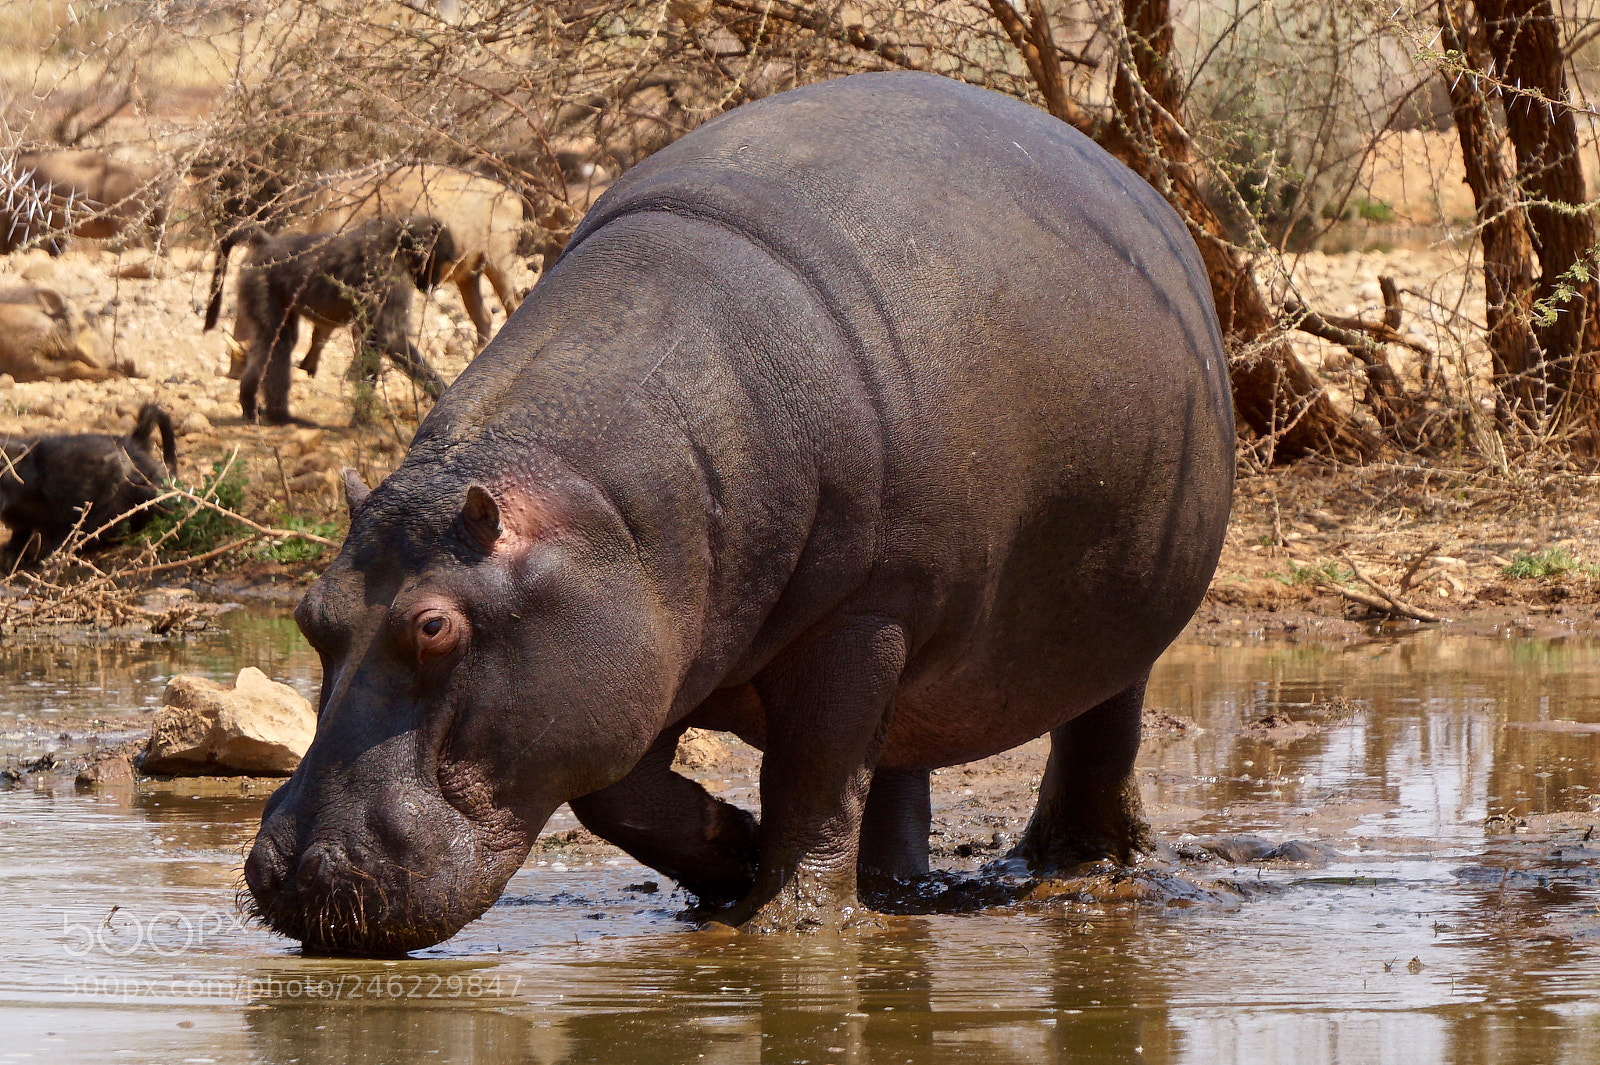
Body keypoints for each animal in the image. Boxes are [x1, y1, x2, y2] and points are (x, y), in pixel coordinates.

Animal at [244, 70, 1234, 954]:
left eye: (434, 625)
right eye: (309, 614)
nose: (286, 872)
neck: (578, 499)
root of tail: (1142, 190)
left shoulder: (859, 617)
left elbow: (815, 773)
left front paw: (786, 922)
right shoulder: (648, 639)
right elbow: (620, 797)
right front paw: (734, 859)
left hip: (1106, 622)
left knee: (1097, 730)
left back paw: (1076, 868)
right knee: (897, 766)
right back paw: (893, 886)